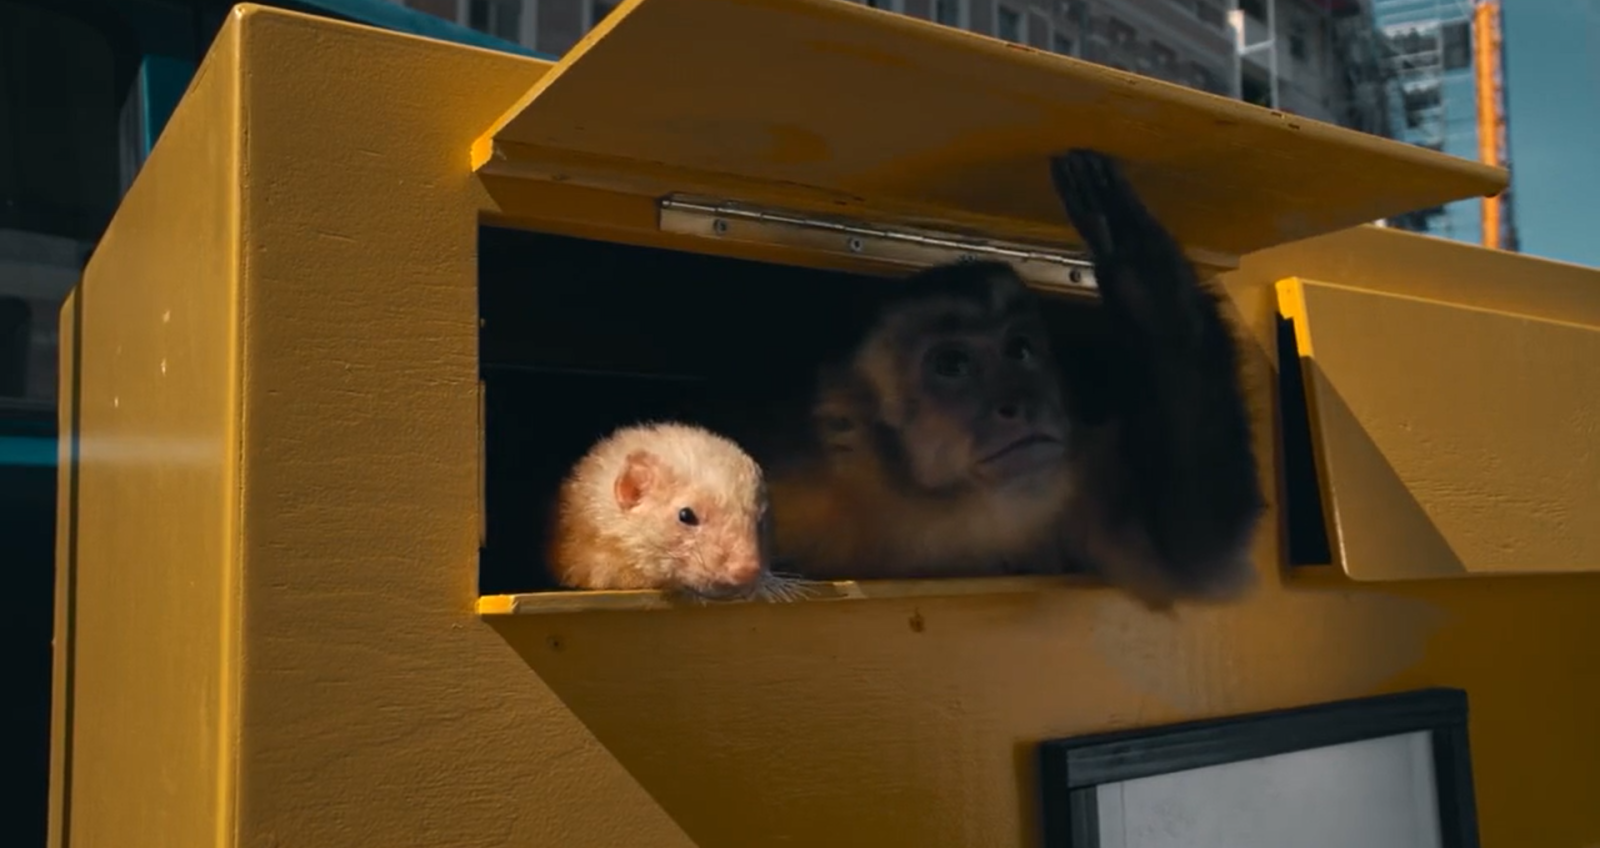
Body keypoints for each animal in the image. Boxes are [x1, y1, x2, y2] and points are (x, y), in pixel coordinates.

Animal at [762, 148, 1266, 608]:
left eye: (1019, 350)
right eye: (952, 365)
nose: (1022, 403)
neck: (939, 512)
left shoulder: (1077, 483)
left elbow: (1190, 553)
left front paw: (1137, 266)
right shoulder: (800, 495)